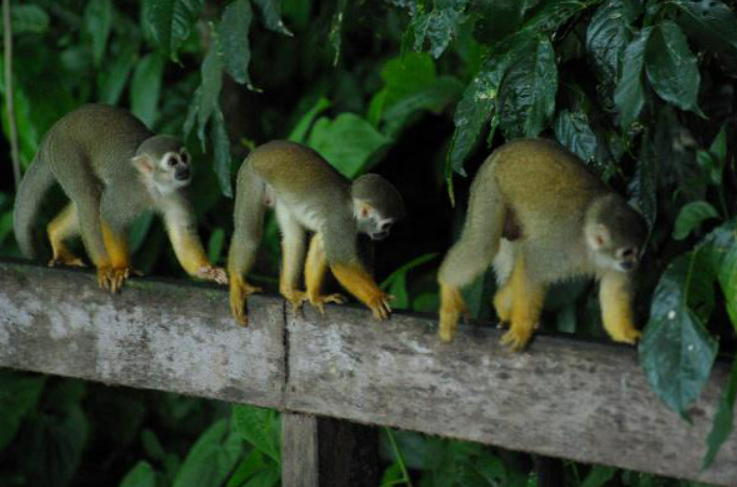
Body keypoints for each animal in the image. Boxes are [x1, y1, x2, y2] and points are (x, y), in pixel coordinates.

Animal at [14, 104, 227, 292]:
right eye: (173, 162)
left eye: (184, 157)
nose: (185, 169)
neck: (152, 185)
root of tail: (54, 130)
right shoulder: (125, 189)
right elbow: (110, 216)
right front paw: (120, 267)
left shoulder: (178, 192)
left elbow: (181, 229)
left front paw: (205, 271)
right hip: (65, 153)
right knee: (88, 197)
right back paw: (103, 264)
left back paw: (54, 232)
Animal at [227, 140, 405, 325]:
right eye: (386, 225)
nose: (386, 234)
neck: (352, 209)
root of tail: (261, 149)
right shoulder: (341, 221)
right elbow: (341, 263)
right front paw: (376, 297)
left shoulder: (333, 224)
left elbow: (320, 243)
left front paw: (315, 296)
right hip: (250, 175)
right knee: (249, 236)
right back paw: (237, 282)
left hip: (281, 193)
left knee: (294, 238)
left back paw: (288, 290)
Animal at [437, 138, 648, 351]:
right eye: (627, 252)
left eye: (639, 252)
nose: (634, 264)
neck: (590, 249)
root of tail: (504, 148)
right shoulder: (560, 245)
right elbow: (532, 267)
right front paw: (521, 327)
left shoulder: (612, 265)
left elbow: (613, 291)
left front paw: (626, 334)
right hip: (489, 186)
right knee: (483, 246)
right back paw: (448, 287)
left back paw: (502, 306)